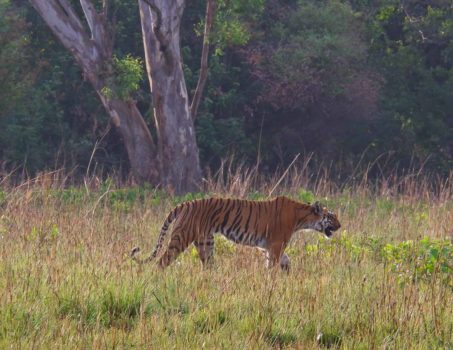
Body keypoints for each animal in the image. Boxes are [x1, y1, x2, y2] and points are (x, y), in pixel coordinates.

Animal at [130, 197, 340, 270]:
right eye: (331, 217)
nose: (340, 225)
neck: (302, 217)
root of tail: (186, 203)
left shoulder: (269, 246)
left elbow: (285, 261)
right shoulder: (276, 245)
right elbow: (272, 265)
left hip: (205, 242)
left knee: (207, 265)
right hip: (181, 237)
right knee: (161, 261)